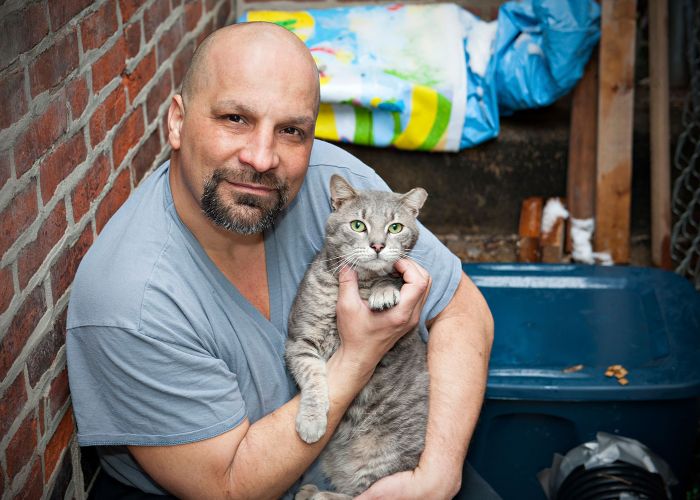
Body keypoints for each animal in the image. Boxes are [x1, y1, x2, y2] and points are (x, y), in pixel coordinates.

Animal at [286, 174, 430, 498]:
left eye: (395, 227)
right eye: (357, 225)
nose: (377, 245)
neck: (362, 283)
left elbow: (393, 280)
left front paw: (385, 291)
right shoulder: (300, 340)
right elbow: (314, 377)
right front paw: (312, 420)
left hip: (380, 457)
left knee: (361, 494)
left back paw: (316, 493)